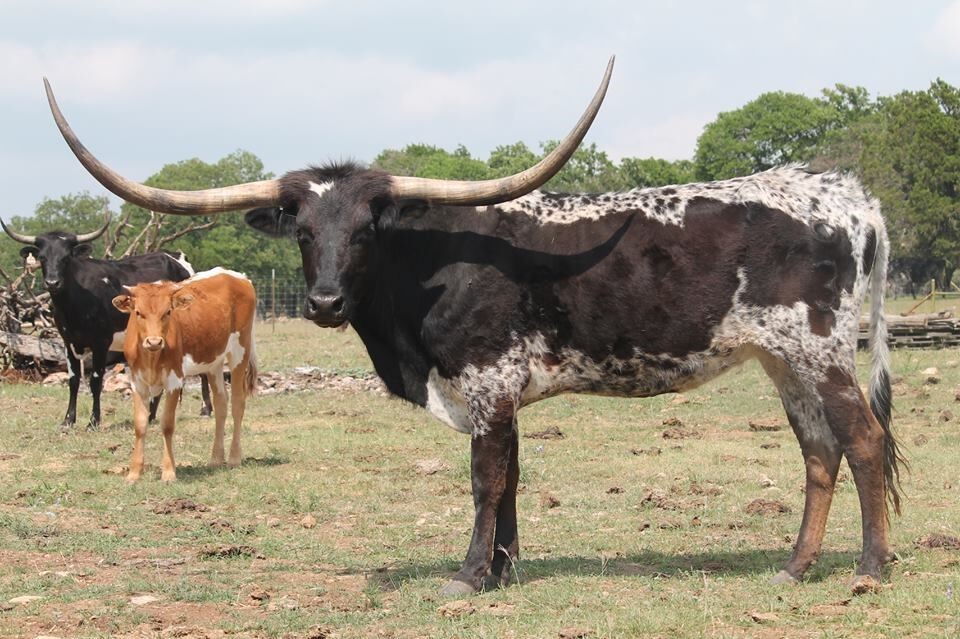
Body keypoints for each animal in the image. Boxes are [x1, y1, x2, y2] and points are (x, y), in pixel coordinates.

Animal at [0, 217, 213, 429]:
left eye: (66, 258)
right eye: (42, 257)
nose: (52, 283)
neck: (74, 302)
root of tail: (176, 257)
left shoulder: (101, 342)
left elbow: (95, 381)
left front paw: (93, 422)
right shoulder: (68, 342)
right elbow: (74, 380)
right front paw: (68, 420)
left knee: (202, 370)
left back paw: (205, 409)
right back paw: (151, 415)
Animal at [111, 268, 257, 482]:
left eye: (168, 312)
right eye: (138, 313)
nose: (154, 341)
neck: (151, 357)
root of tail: (237, 276)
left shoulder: (174, 379)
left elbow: (167, 424)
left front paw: (169, 472)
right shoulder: (137, 381)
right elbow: (140, 424)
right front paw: (134, 473)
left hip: (240, 351)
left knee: (238, 403)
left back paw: (234, 458)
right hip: (213, 361)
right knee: (221, 403)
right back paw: (216, 458)